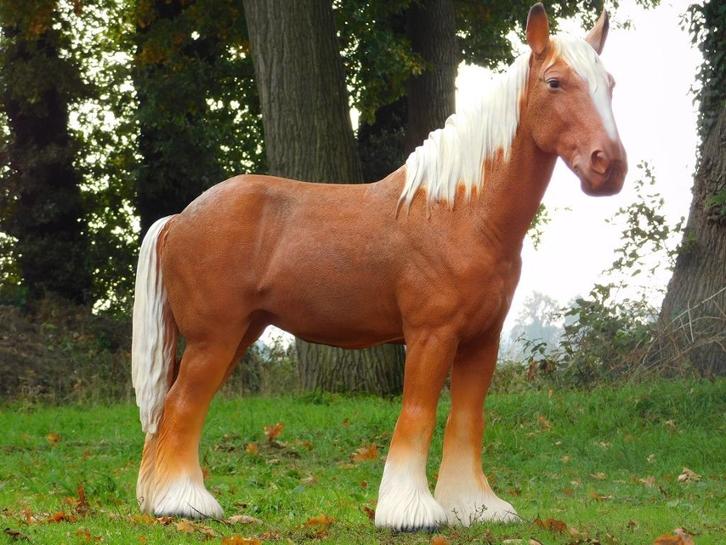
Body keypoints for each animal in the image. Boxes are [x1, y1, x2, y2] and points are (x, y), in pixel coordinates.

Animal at [131, 3, 626, 531]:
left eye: (610, 83)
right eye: (555, 82)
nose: (609, 165)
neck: (458, 211)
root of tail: (179, 218)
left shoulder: (482, 339)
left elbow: (467, 419)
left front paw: (476, 506)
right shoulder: (431, 335)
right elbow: (419, 412)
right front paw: (410, 510)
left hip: (236, 335)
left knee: (173, 409)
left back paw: (161, 498)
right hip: (215, 339)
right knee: (182, 406)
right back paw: (183, 503)